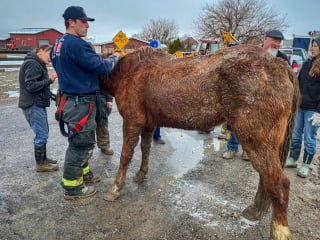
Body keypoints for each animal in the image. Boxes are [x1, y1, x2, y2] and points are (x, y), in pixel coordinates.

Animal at [99, 45, 300, 240]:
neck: (131, 71)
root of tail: (279, 64)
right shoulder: (148, 125)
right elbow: (145, 149)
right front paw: (141, 174)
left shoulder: (132, 122)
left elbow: (126, 155)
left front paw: (115, 188)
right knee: (265, 179)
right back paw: (255, 210)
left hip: (256, 141)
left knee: (278, 184)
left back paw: (279, 230)